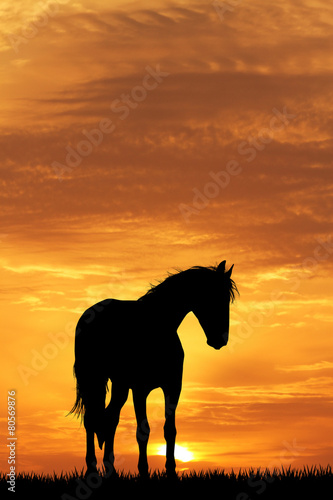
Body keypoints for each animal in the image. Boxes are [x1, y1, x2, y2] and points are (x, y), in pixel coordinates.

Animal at [69, 262, 236, 476]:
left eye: (227, 299)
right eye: (213, 296)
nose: (220, 340)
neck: (157, 327)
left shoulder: (173, 387)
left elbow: (170, 430)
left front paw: (171, 471)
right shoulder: (140, 390)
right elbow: (143, 431)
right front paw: (143, 471)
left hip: (120, 385)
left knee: (111, 418)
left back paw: (110, 469)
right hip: (93, 378)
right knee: (91, 419)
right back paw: (92, 469)